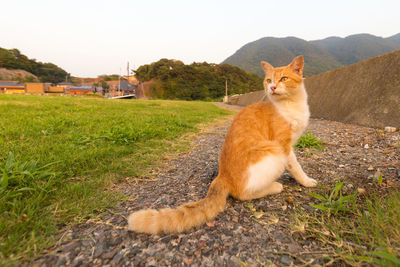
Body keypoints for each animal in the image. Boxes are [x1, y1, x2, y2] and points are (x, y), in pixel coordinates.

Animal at [130, 56, 318, 234]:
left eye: (284, 78)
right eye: (269, 80)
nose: (272, 87)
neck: (290, 105)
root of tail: (221, 176)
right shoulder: (284, 145)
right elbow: (296, 166)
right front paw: (307, 181)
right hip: (274, 152)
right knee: (243, 194)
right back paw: (274, 186)